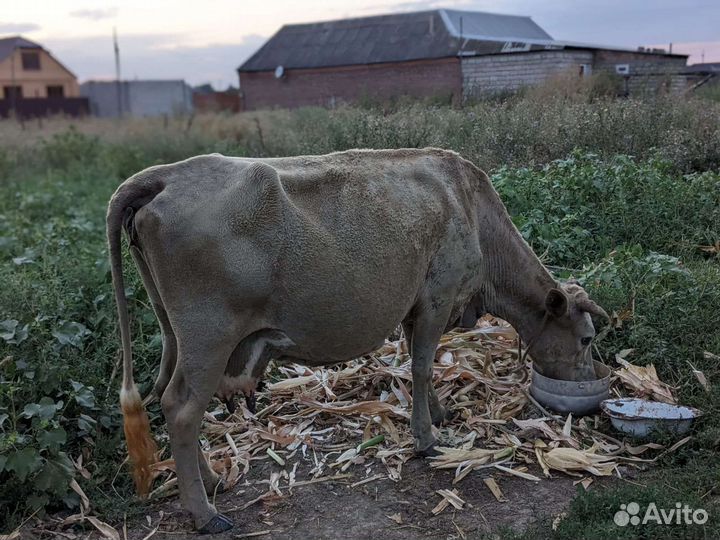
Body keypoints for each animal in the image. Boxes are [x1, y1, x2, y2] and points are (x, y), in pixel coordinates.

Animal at [106, 148, 607, 533]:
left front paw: (439, 413)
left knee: (166, 393)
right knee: (182, 408)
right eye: (586, 338)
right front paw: (427, 439)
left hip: (174, 333)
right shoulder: (438, 296)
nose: (592, 380)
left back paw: (211, 481)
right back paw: (206, 512)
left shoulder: (417, 306)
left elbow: (422, 363)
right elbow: (422, 365)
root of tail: (168, 174)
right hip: (209, 336)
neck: (473, 212)